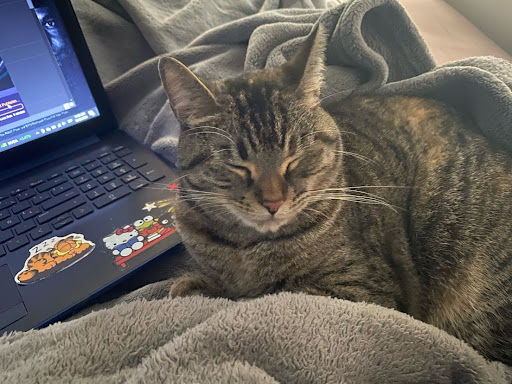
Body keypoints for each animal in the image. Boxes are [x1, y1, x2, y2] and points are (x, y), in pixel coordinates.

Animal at [158, 26, 510, 364]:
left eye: (295, 158)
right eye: (237, 165)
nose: (273, 202)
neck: (246, 248)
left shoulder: (360, 291)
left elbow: (262, 296)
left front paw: (198, 289)